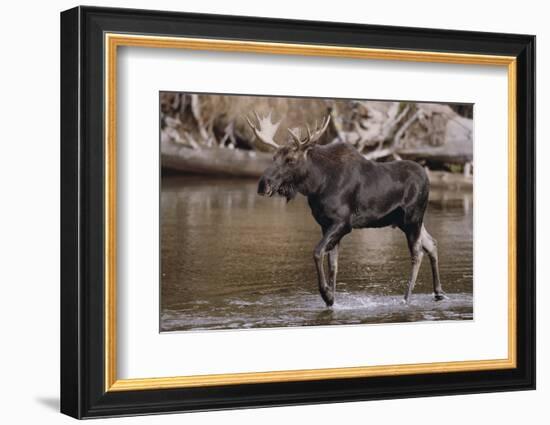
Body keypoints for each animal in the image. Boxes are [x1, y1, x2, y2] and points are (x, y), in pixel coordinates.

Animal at [248, 111, 446, 306]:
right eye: (274, 157)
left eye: (290, 160)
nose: (263, 185)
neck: (317, 185)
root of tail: (427, 178)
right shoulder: (325, 224)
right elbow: (333, 265)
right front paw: (331, 299)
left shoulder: (342, 223)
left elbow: (317, 252)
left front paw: (326, 294)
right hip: (406, 221)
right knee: (432, 243)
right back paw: (438, 292)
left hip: (413, 218)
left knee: (417, 252)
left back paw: (406, 297)